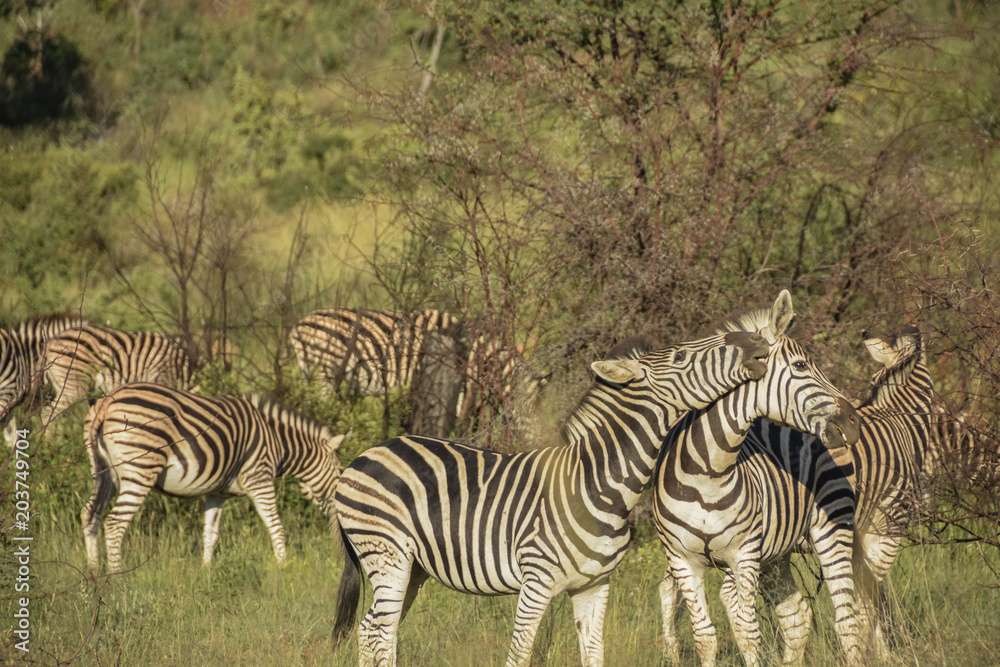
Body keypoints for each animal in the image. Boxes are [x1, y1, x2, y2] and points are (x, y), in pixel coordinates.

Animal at [81, 382, 346, 573]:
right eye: (340, 474)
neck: (276, 441)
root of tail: (105, 402)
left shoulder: (215, 493)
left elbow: (210, 535)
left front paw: (206, 572)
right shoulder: (259, 479)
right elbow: (275, 525)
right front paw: (284, 568)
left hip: (103, 473)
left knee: (90, 514)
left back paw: (93, 573)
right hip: (140, 468)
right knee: (114, 523)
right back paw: (117, 579)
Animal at [332, 327, 773, 667]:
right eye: (682, 355)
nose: (756, 341)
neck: (600, 484)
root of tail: (368, 453)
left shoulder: (594, 585)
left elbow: (593, 654)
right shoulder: (536, 581)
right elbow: (519, 653)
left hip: (413, 567)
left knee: (375, 631)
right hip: (386, 553)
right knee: (377, 630)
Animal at [653, 290, 863, 667]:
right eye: (800, 366)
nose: (853, 422)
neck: (708, 474)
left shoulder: (744, 554)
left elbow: (749, 634)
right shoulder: (682, 560)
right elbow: (705, 637)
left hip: (832, 528)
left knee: (846, 619)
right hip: (777, 555)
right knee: (796, 617)